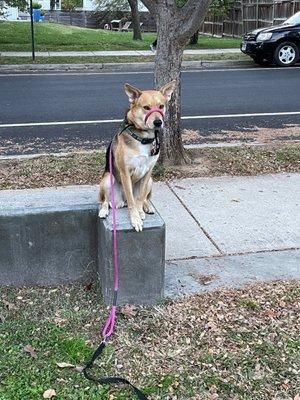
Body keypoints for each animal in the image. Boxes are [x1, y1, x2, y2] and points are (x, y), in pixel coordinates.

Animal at [98, 80, 176, 231]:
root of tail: (121, 201)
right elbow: (132, 201)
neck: (143, 138)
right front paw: (135, 218)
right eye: (146, 107)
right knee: (105, 201)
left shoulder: (148, 171)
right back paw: (104, 210)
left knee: (145, 197)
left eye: (161, 106)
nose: (158, 122)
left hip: (151, 180)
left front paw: (140, 211)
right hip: (107, 179)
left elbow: (139, 197)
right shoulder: (125, 172)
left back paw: (147, 206)